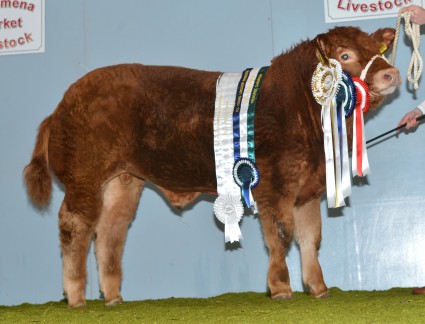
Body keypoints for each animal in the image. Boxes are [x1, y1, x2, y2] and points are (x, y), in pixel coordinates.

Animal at [24, 26, 400, 308]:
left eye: (377, 48)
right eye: (345, 55)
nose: (391, 73)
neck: (300, 106)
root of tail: (64, 103)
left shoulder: (307, 188)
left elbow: (310, 237)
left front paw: (318, 289)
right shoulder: (275, 185)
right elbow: (280, 234)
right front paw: (281, 289)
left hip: (123, 181)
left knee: (109, 231)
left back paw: (113, 297)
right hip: (84, 177)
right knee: (75, 227)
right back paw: (76, 298)